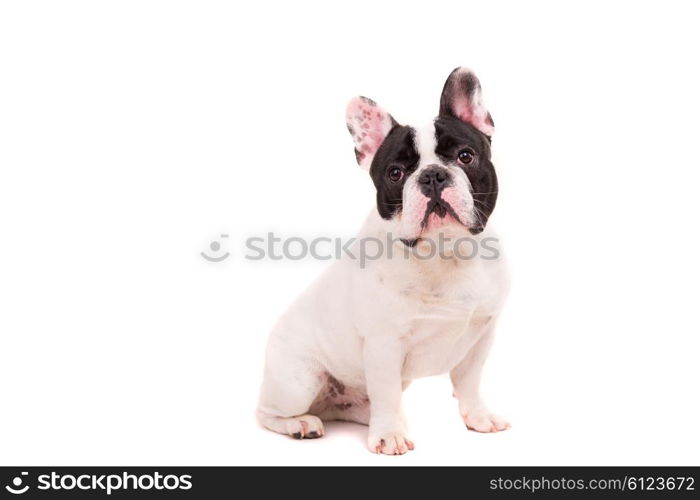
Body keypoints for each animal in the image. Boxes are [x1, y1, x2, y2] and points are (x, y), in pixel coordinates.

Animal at [258, 68, 508, 456]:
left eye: (465, 156)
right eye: (395, 173)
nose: (433, 175)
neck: (444, 253)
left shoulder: (482, 334)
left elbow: (469, 381)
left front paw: (478, 417)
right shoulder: (384, 344)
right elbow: (387, 391)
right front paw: (389, 435)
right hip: (299, 381)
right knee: (268, 413)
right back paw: (302, 424)